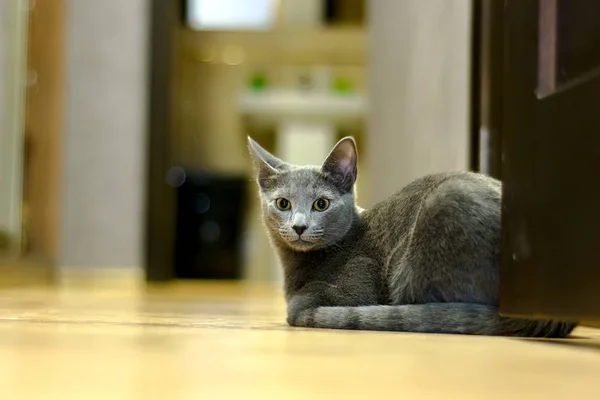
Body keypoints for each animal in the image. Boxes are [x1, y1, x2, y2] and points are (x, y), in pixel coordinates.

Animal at [247, 136, 576, 336]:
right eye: (283, 204)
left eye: (321, 204)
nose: (299, 226)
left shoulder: (357, 286)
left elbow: (298, 305)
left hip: (441, 209)